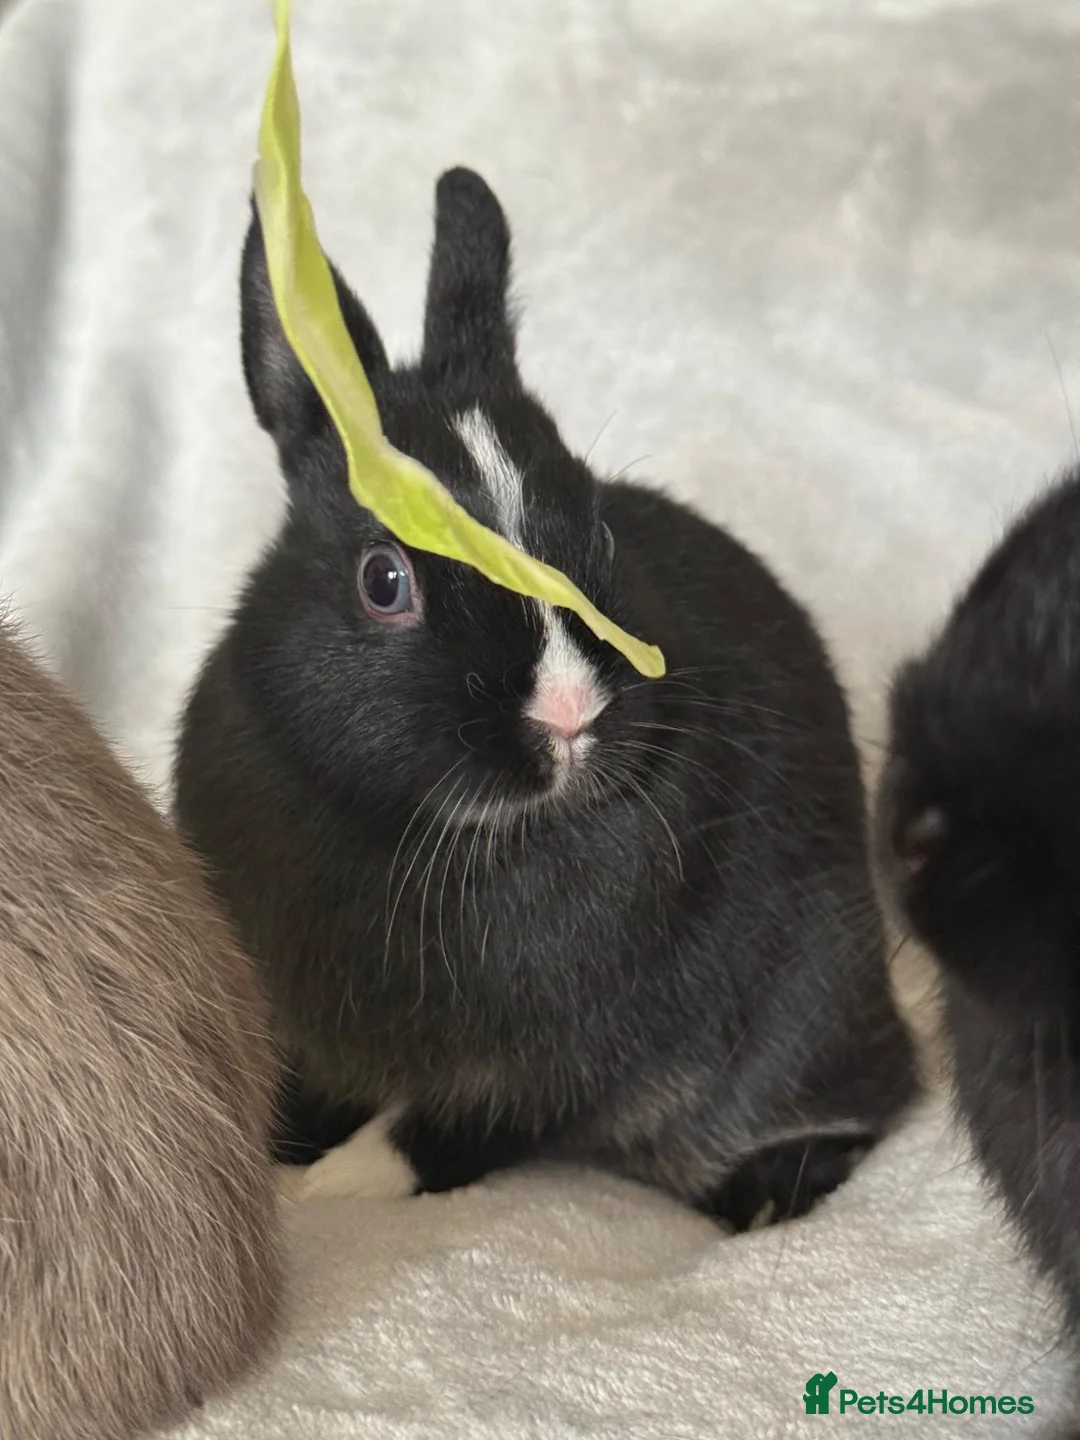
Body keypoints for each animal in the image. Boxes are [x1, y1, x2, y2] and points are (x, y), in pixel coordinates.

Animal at [174, 166, 917, 1228]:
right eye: (384, 580)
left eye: (596, 528)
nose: (569, 715)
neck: (414, 831)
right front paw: (285, 1152)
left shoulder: (559, 1056)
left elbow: (446, 1134)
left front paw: (328, 1189)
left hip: (814, 1011)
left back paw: (765, 1198)